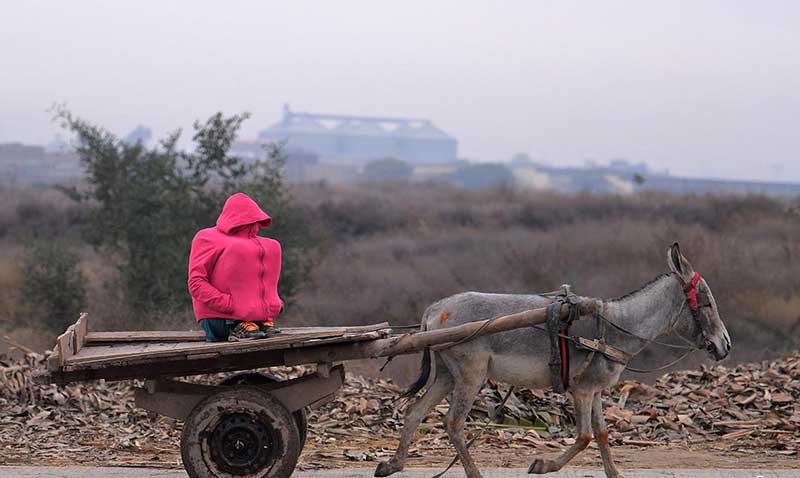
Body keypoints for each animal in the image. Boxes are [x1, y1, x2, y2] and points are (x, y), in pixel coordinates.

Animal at [375, 243, 731, 478]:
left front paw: (615, 474)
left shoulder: (594, 389)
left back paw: (392, 465)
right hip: (470, 374)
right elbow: (585, 436)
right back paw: (473, 474)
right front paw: (543, 465)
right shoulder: (582, 391)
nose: (725, 346)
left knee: (415, 411)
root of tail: (435, 310)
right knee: (453, 422)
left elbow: (602, 434)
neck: (617, 325)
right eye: (708, 303)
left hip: (448, 374)